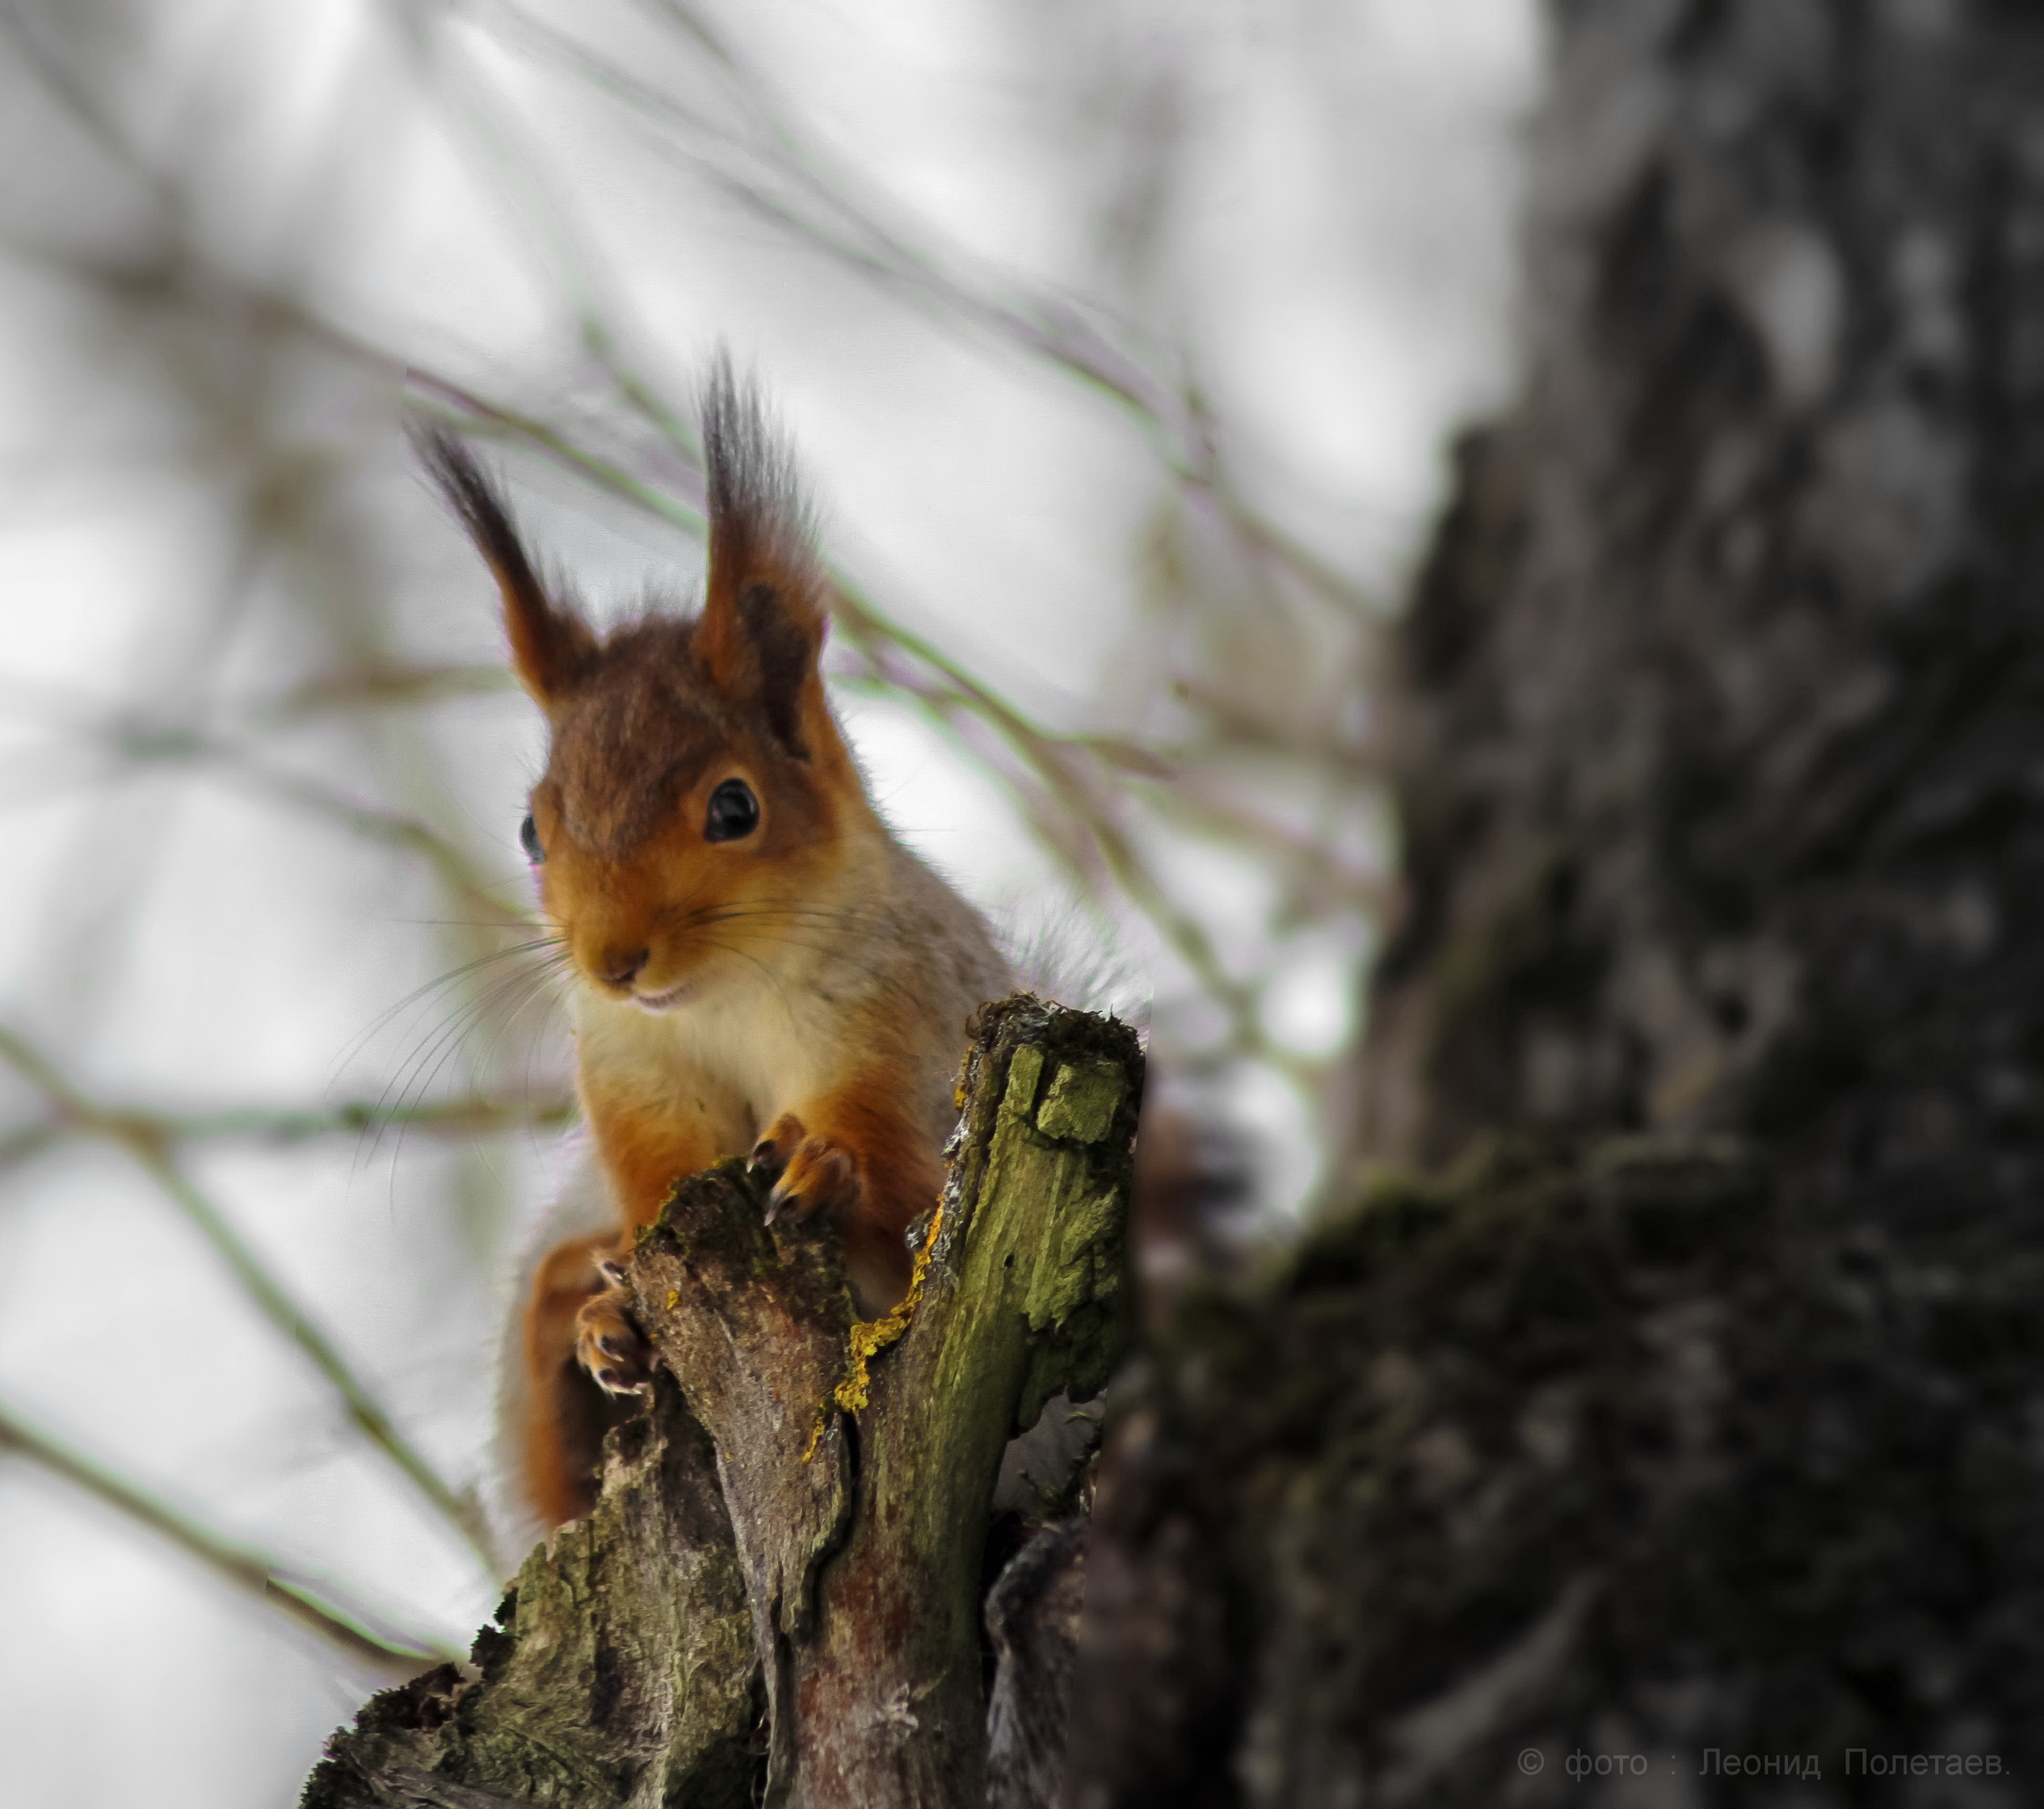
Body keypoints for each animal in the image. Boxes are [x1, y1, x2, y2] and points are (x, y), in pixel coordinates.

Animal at [420, 369, 1013, 1537]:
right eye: (531, 830)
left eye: (734, 808)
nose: (613, 962)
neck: (723, 1001)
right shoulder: (636, 1088)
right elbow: (657, 1197)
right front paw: (607, 1314)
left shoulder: (905, 1023)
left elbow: (904, 1193)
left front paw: (821, 1167)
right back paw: (571, 1298)